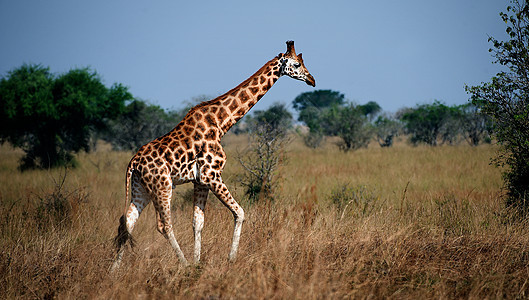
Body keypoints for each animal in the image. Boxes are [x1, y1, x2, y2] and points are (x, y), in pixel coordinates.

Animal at [111, 40, 314, 270]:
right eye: (296, 64)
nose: (312, 80)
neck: (221, 122)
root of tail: (134, 162)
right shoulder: (212, 174)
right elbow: (240, 212)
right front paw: (229, 259)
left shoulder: (200, 180)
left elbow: (197, 223)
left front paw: (198, 261)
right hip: (162, 185)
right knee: (163, 225)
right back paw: (183, 264)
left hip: (141, 189)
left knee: (127, 224)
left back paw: (113, 271)